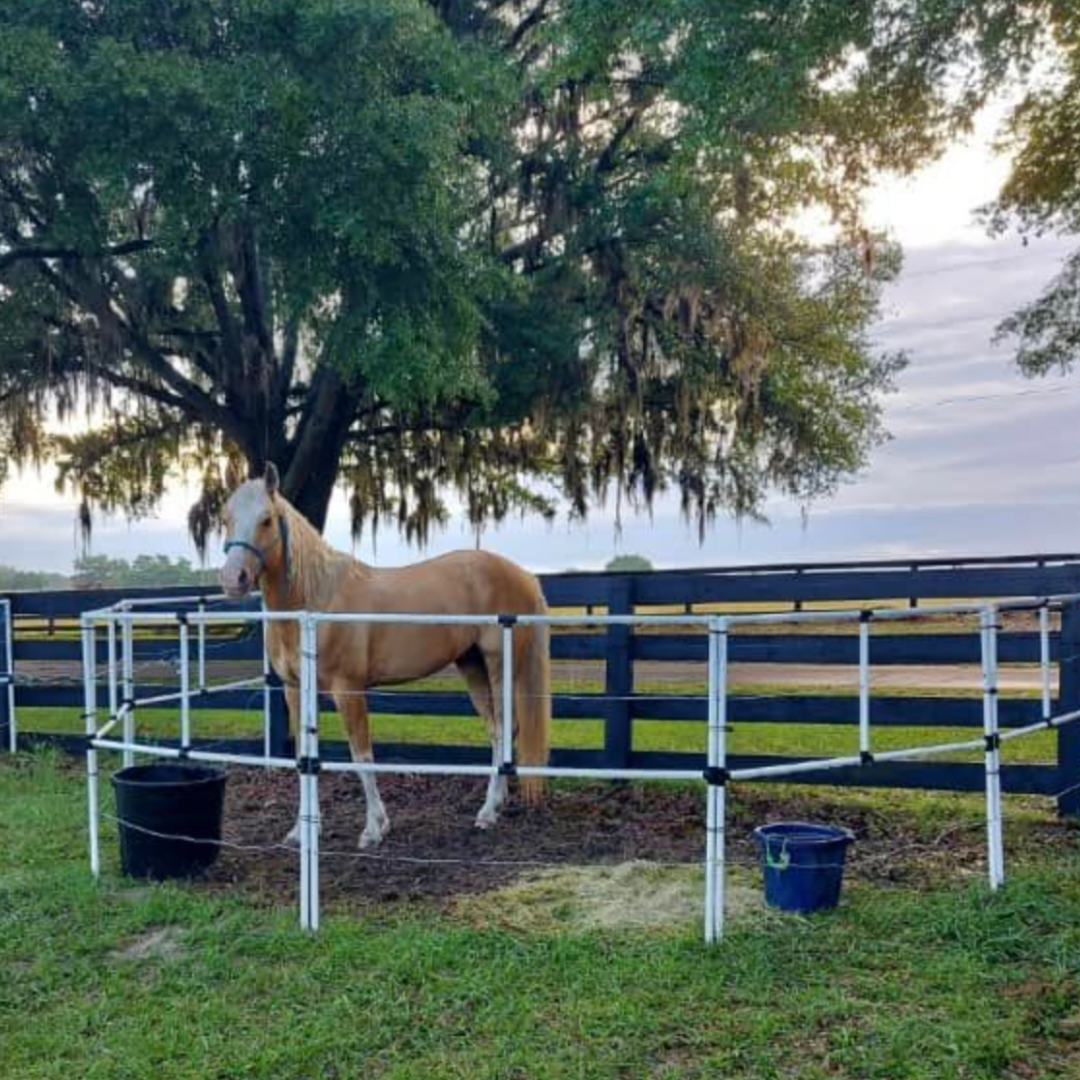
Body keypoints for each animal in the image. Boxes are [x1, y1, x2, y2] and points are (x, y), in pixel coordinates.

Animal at [218, 464, 551, 848]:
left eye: (267, 520)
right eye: (226, 518)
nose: (233, 578)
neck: (315, 601)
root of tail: (523, 575)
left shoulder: (348, 689)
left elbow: (362, 756)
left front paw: (374, 829)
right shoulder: (295, 690)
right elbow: (304, 755)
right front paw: (301, 832)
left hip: (500, 667)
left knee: (507, 729)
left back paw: (487, 812)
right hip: (472, 665)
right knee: (496, 731)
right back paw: (492, 808)